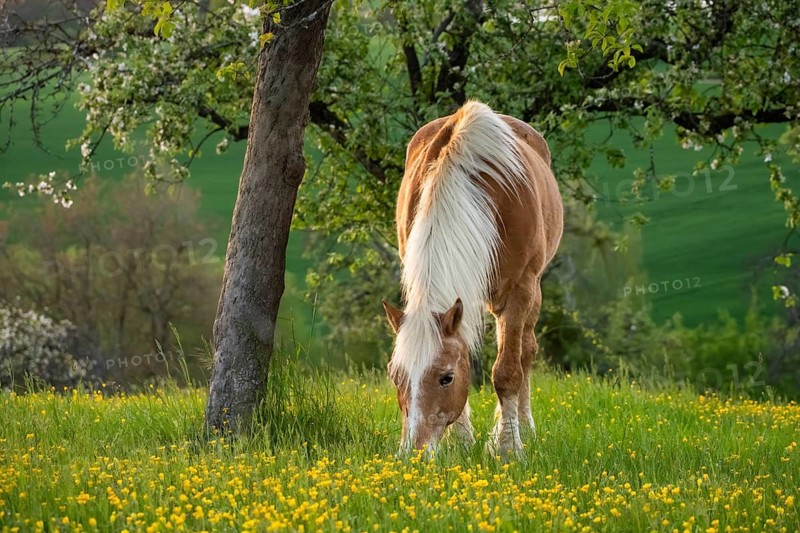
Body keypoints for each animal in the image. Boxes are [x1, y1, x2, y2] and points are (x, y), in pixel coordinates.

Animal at [382, 101, 563, 455]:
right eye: (396, 377)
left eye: (446, 378)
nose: (413, 453)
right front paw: (462, 440)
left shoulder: (520, 289)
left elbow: (508, 371)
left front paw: (507, 446)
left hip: (533, 290)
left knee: (526, 351)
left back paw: (525, 427)